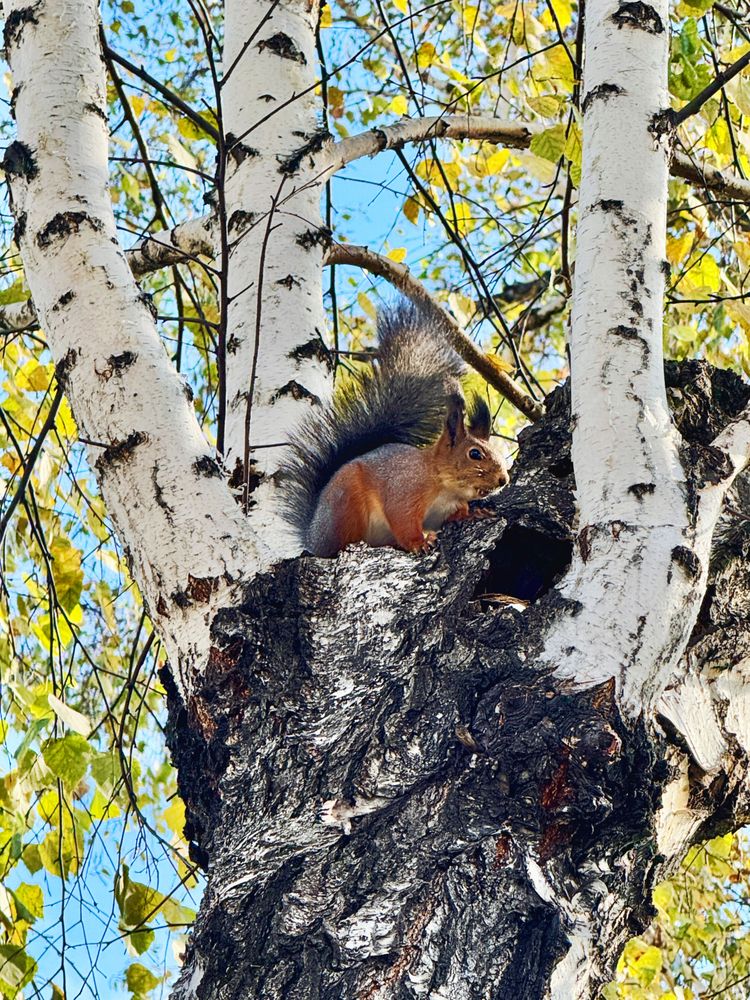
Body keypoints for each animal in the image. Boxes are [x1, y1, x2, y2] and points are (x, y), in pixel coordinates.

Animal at [280, 300, 510, 557]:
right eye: (475, 454)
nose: (503, 480)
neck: (444, 486)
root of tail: (313, 534)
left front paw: (474, 514)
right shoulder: (405, 491)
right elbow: (403, 520)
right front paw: (419, 542)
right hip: (345, 504)